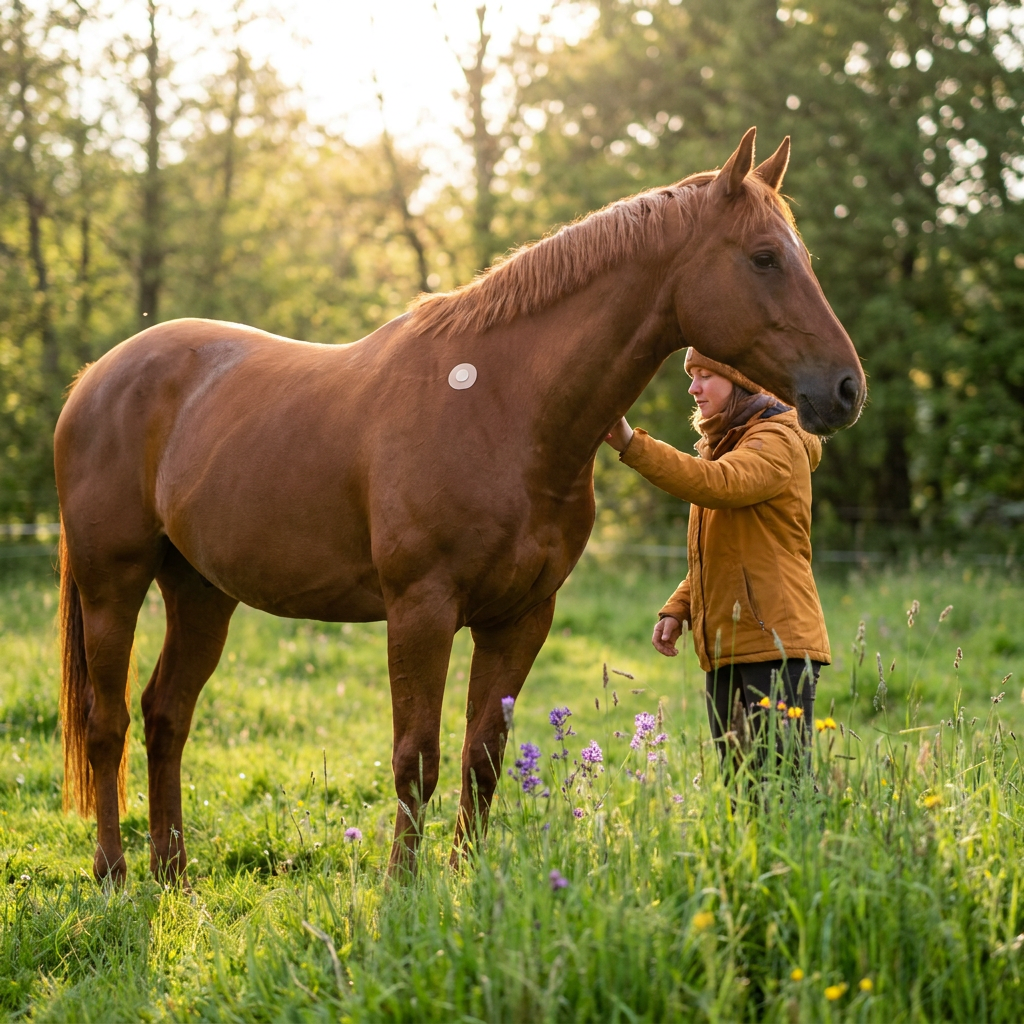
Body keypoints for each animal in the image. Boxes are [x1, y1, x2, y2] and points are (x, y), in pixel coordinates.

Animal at [55, 128, 865, 885]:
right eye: (764, 257)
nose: (846, 389)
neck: (504, 411)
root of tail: (97, 375)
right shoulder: (421, 610)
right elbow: (417, 757)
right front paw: (401, 893)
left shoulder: (521, 617)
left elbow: (485, 756)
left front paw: (464, 886)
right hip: (113, 585)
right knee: (108, 722)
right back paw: (114, 873)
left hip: (200, 592)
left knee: (166, 715)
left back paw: (173, 872)